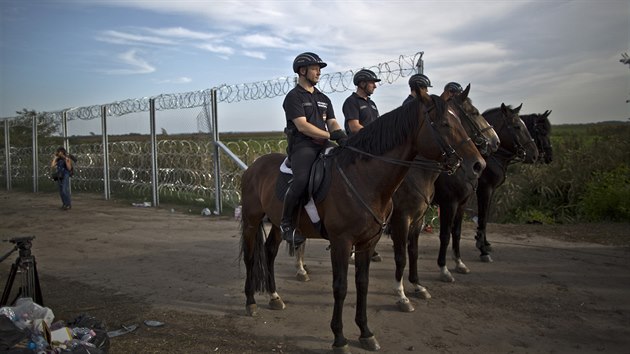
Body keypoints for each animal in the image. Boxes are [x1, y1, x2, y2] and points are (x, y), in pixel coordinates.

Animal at [239, 92, 486, 352]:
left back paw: (274, 297)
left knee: (269, 252)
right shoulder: (343, 242)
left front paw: (366, 332)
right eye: (445, 124)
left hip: (278, 224)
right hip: (251, 221)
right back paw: (251, 302)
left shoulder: (368, 241)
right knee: (251, 257)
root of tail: (254, 165)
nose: (478, 164)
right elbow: (341, 287)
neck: (365, 178)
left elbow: (363, 284)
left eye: (460, 120)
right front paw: (339, 338)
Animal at [476, 103, 540, 262]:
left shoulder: (491, 191)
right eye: (517, 126)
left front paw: (485, 243)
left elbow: (485, 217)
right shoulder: (484, 190)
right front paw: (482, 250)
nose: (535, 155)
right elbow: (482, 217)